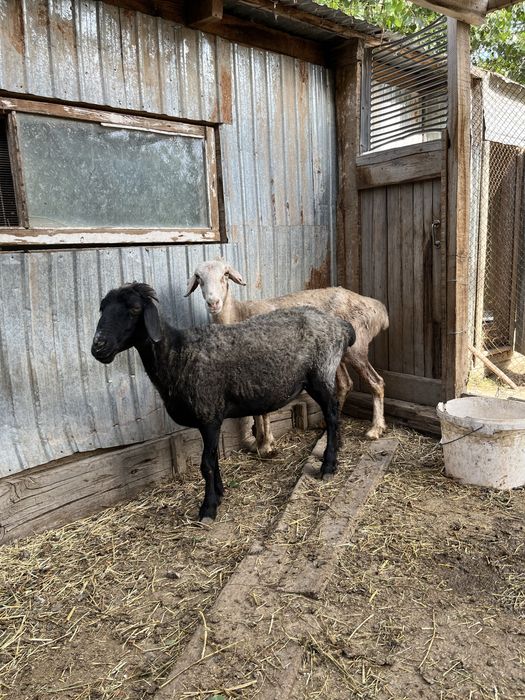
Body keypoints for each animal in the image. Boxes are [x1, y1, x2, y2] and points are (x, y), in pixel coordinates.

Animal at [91, 282, 356, 522]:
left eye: (134, 309)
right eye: (102, 308)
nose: (98, 347)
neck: (177, 353)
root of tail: (340, 326)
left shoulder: (208, 413)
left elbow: (206, 464)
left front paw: (208, 508)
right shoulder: (209, 417)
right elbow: (213, 458)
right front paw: (219, 494)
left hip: (321, 374)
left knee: (332, 416)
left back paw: (328, 466)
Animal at [186, 259, 389, 456]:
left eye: (225, 275)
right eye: (199, 278)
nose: (213, 303)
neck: (239, 314)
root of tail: (378, 309)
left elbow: (263, 409)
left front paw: (267, 445)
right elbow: (255, 410)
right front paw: (259, 443)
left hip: (357, 349)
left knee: (377, 382)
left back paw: (375, 429)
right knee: (346, 384)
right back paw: (329, 424)